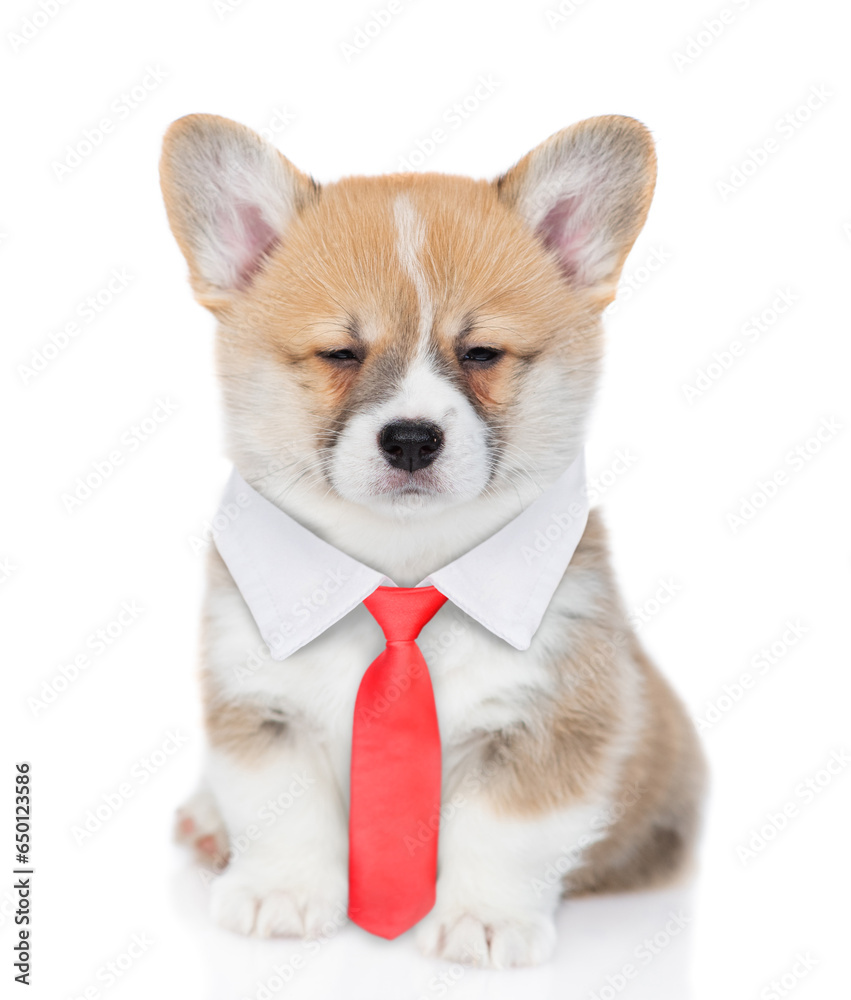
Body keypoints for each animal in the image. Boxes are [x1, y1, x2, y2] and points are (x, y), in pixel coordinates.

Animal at [160, 111, 704, 968]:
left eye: (480, 353)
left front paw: (481, 919)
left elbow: (506, 827)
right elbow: (281, 803)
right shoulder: (259, 700)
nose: (411, 439)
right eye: (340, 353)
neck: (402, 567)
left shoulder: (552, 720)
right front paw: (282, 893)